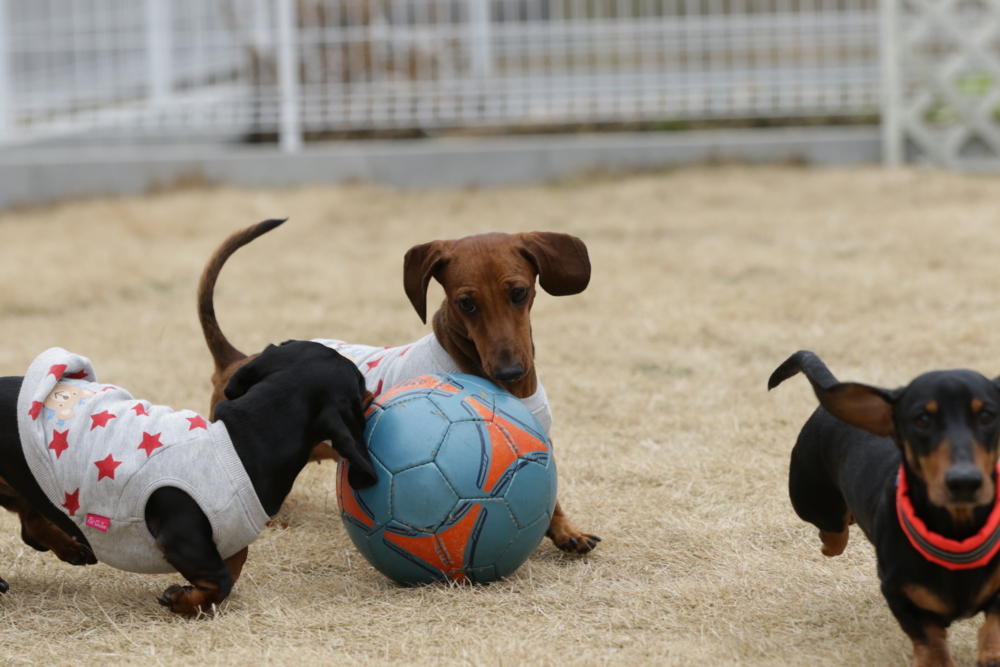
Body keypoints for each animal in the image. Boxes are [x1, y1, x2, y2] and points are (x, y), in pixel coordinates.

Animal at [0, 342, 376, 612]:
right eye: (360, 382)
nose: (376, 389)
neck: (245, 439)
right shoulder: (183, 539)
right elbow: (222, 579)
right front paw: (180, 600)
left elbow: (233, 565)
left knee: (30, 527)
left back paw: (69, 547)